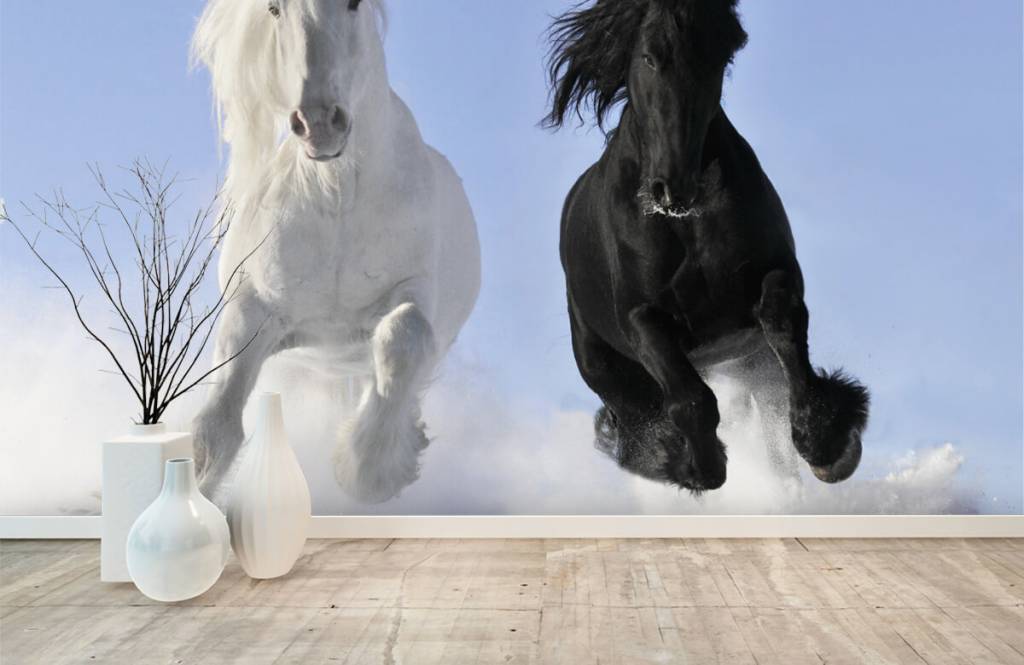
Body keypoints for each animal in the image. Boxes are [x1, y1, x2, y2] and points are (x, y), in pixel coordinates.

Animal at [190, 0, 480, 503]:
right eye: (274, 9)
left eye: (354, 3)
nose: (319, 123)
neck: (336, 196)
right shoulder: (254, 309)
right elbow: (216, 427)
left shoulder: (414, 290)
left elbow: (403, 337)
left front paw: (367, 468)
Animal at [544, 0, 869, 492]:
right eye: (649, 56)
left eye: (719, 58)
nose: (673, 188)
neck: (686, 226)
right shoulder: (642, 319)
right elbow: (691, 400)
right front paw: (692, 464)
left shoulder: (776, 273)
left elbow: (782, 324)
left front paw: (827, 444)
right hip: (607, 367)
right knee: (637, 423)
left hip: (753, 365)